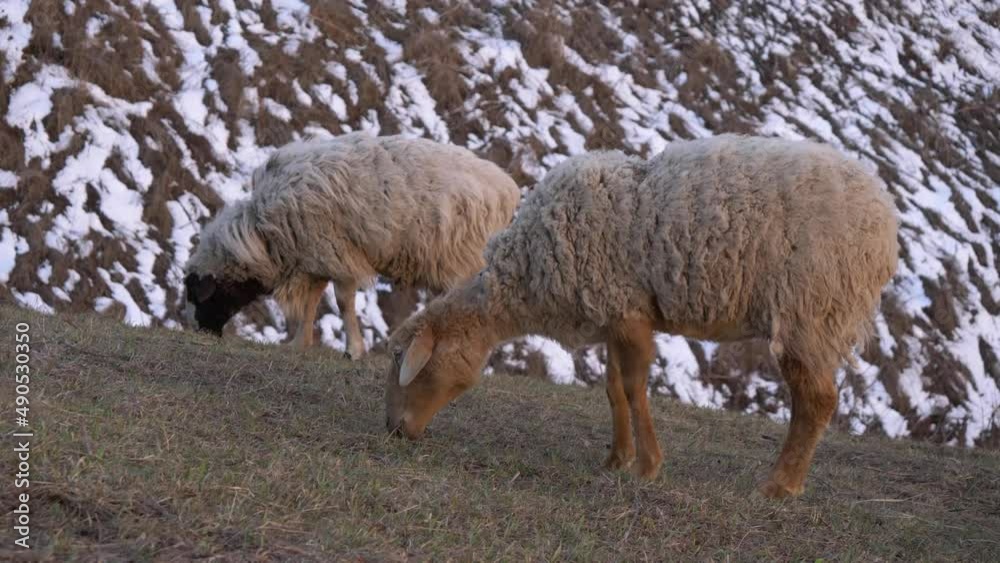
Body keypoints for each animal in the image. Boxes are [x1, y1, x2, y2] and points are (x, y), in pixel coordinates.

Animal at [183, 133, 520, 359]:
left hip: (460, 257)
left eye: (200, 296)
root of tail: (507, 188)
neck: (263, 236)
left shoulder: (337, 252)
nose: (202, 331)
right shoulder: (314, 259)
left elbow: (343, 302)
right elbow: (310, 304)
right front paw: (298, 344)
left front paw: (354, 351)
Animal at [383, 135, 899, 498]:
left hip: (810, 310)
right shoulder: (612, 313)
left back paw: (779, 486)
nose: (394, 431)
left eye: (405, 362)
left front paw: (647, 467)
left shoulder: (629, 312)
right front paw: (617, 458)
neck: (527, 275)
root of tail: (884, 214)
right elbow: (613, 389)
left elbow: (634, 388)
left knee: (817, 401)